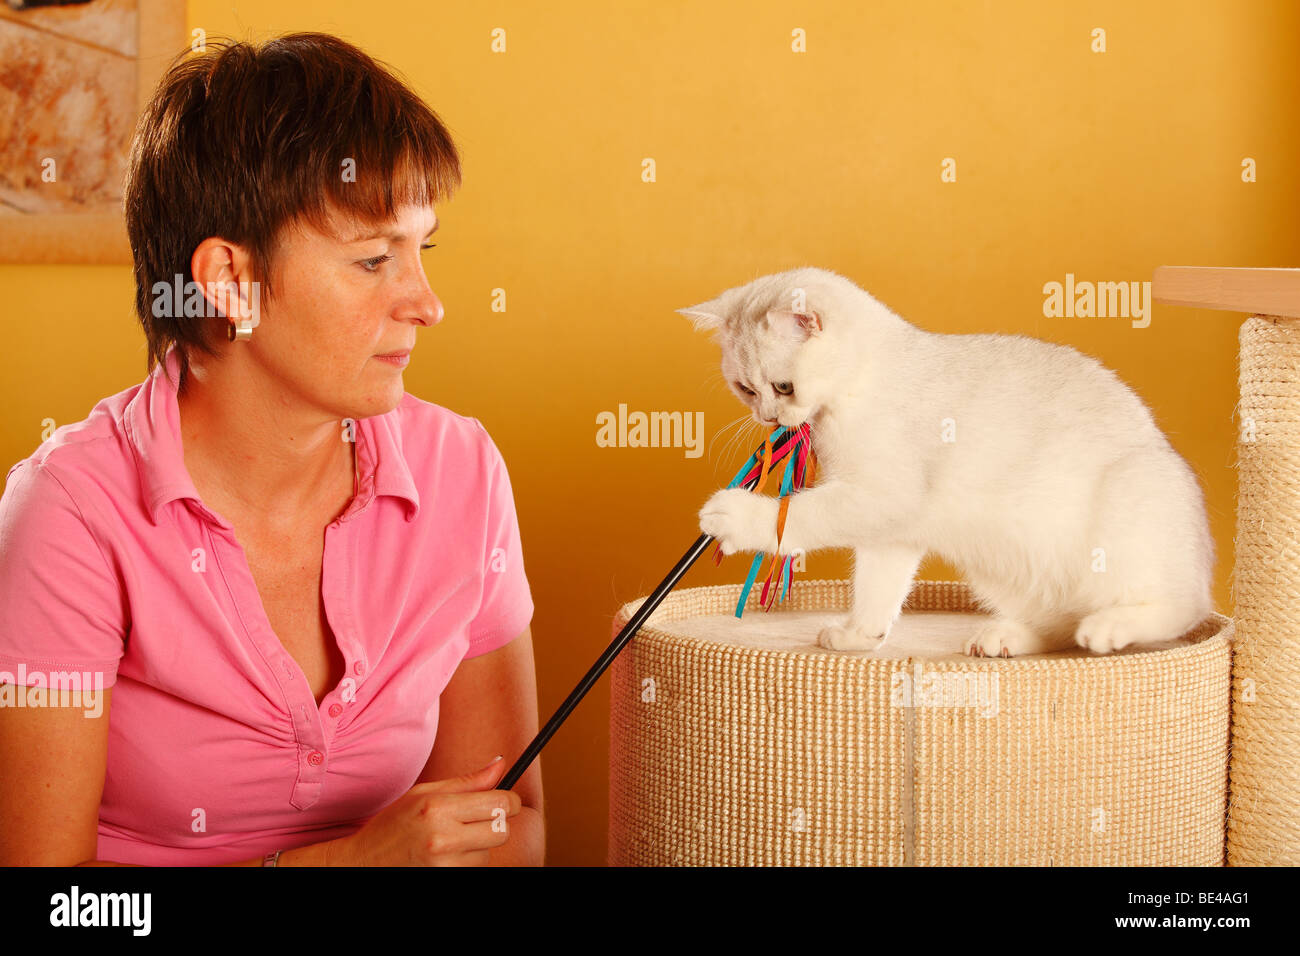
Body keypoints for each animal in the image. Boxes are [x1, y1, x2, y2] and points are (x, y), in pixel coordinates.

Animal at [686, 267, 1211, 658]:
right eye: (745, 390)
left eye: (783, 387)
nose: (768, 417)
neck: (858, 386)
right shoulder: (890, 532)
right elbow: (876, 589)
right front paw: (860, 636)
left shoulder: (880, 496)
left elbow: (798, 514)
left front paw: (732, 515)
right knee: (1063, 618)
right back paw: (1007, 637)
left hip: (1125, 510)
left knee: (1179, 608)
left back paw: (1109, 627)